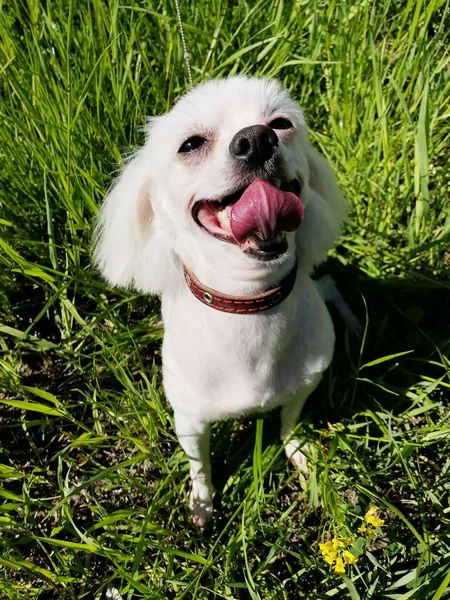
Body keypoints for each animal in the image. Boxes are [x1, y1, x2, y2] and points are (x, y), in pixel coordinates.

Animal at [95, 76, 348, 528]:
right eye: (190, 145)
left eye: (281, 124)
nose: (256, 139)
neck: (250, 303)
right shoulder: (190, 422)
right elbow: (200, 465)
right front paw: (202, 504)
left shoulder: (304, 386)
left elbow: (287, 423)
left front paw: (299, 453)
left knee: (332, 285)